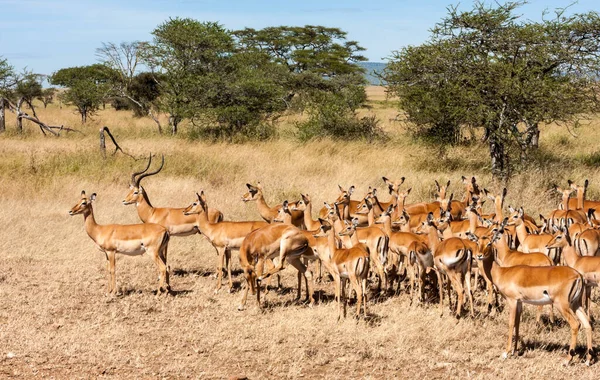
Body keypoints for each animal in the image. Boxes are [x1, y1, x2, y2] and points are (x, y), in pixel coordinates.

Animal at [476, 232, 592, 366]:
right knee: (587, 323)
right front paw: (514, 351)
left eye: (489, 243)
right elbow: (517, 323)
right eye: (478, 242)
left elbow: (511, 323)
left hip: (562, 305)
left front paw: (505, 353)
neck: (502, 273)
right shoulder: (519, 302)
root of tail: (578, 275)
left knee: (575, 324)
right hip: (576, 304)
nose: (479, 255)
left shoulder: (512, 301)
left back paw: (567, 360)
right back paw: (588, 360)